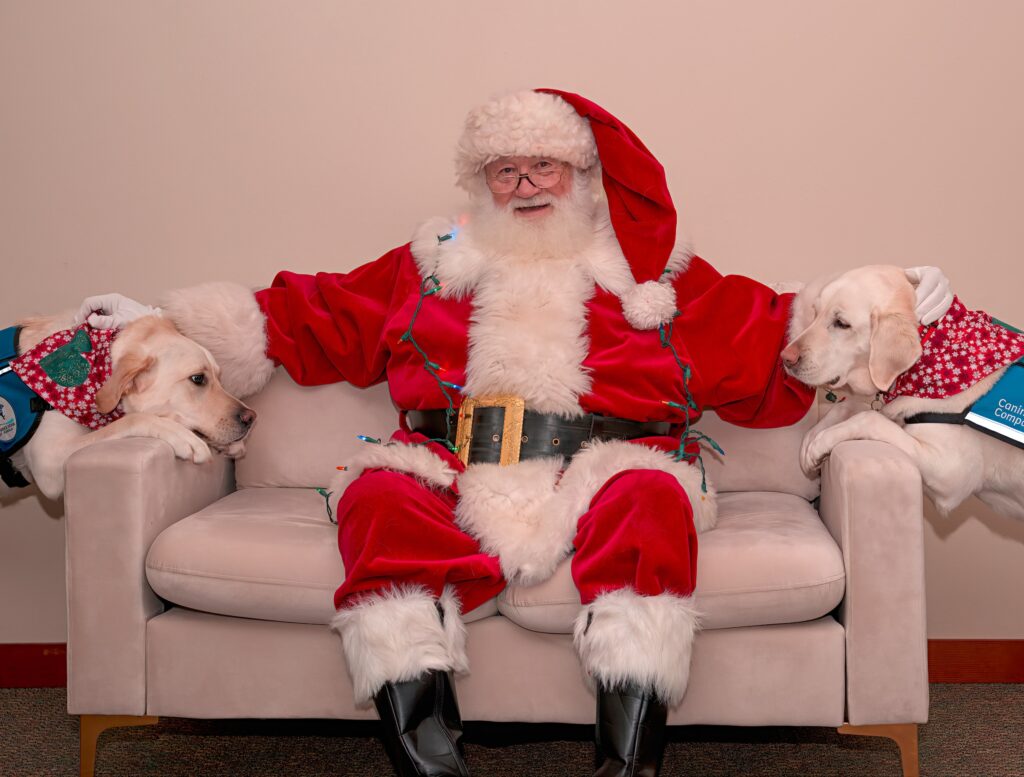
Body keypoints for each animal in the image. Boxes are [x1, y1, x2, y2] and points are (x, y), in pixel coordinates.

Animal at [7, 315, 254, 501]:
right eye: (198, 379)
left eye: (219, 378)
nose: (251, 418)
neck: (97, 365)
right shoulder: (47, 460)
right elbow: (133, 419)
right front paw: (180, 435)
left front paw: (229, 445)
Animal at [782, 266, 1024, 522]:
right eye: (815, 313)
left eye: (841, 323)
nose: (785, 358)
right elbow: (850, 406)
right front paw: (811, 439)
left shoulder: (950, 472)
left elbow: (869, 417)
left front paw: (820, 442)